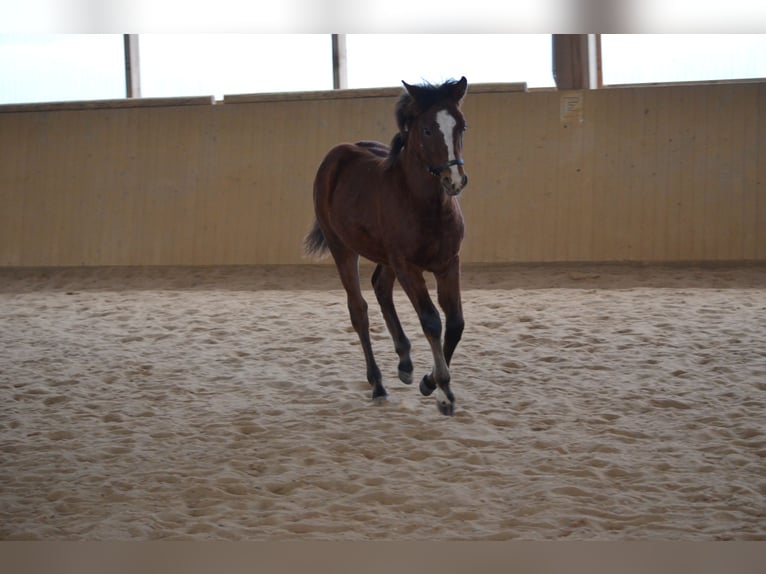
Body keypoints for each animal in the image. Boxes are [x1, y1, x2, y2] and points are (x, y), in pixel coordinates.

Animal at [304, 77, 469, 416]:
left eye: (462, 126)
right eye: (427, 130)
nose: (455, 181)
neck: (428, 206)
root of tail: (335, 157)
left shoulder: (449, 263)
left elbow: (455, 323)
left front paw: (429, 382)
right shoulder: (407, 266)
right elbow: (432, 321)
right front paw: (444, 390)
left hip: (385, 257)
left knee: (380, 286)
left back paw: (404, 361)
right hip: (343, 248)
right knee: (359, 309)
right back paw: (378, 384)